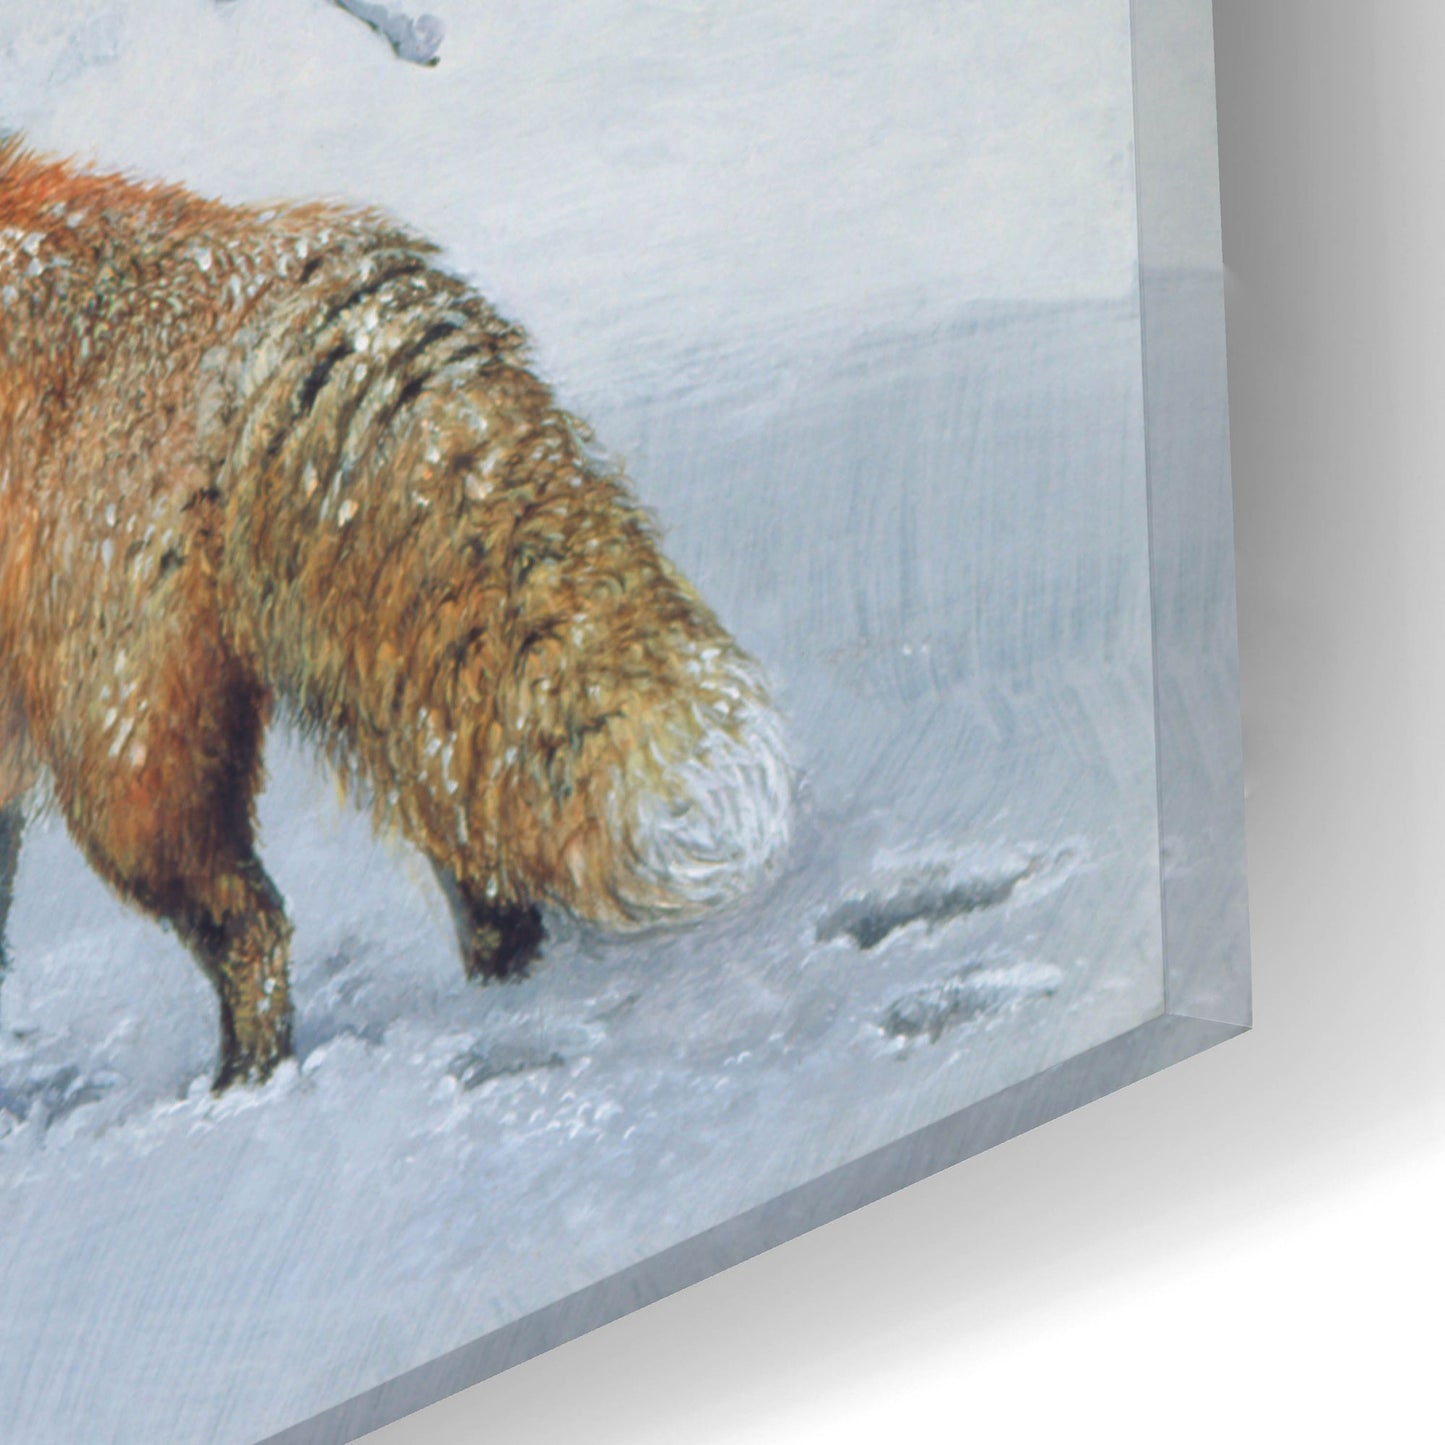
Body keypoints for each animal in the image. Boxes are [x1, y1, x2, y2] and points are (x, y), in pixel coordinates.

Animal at [0, 139, 792, 1090]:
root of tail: (257, 263)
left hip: (119, 754)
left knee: (253, 925)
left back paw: (245, 1088)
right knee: (469, 834)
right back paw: (507, 987)